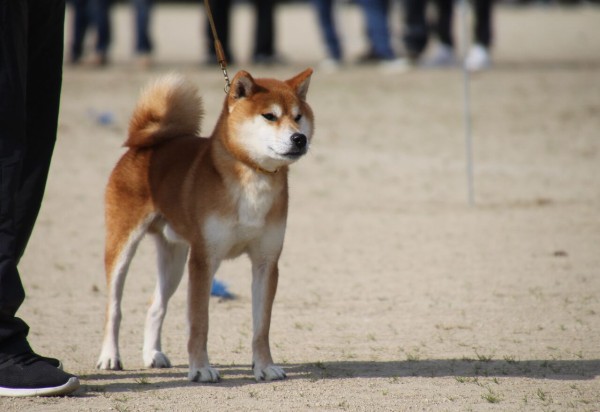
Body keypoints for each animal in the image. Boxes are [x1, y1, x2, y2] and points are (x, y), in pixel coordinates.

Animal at [95, 70, 314, 384]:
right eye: (269, 116)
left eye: (298, 116)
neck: (252, 177)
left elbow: (261, 326)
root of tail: (143, 144)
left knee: (155, 305)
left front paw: (264, 366)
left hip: (174, 260)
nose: (299, 138)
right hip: (123, 245)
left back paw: (153, 354)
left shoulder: (266, 262)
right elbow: (200, 322)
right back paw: (110, 356)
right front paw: (200, 368)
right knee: (114, 307)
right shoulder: (203, 261)